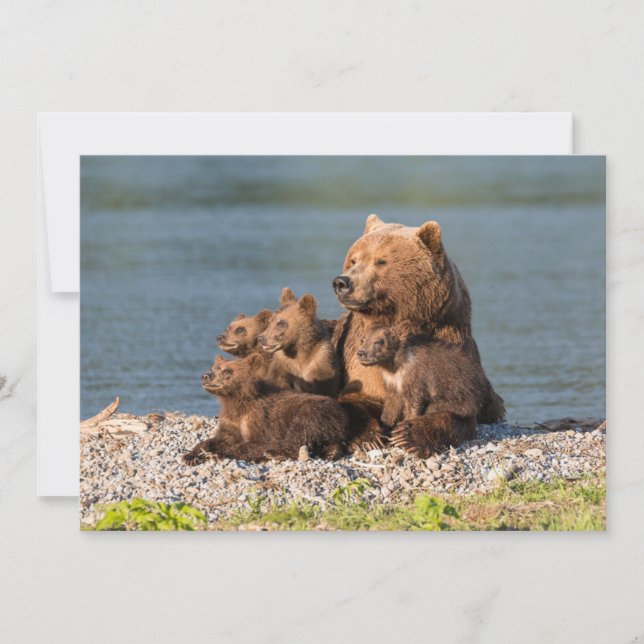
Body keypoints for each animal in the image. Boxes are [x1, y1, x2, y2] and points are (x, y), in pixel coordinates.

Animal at [183, 354, 358, 464]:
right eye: (213, 367)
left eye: (227, 370)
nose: (206, 376)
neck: (236, 401)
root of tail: (343, 412)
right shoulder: (231, 420)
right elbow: (219, 438)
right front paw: (191, 456)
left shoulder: (260, 419)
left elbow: (257, 442)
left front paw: (219, 453)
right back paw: (331, 452)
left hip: (315, 412)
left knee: (300, 433)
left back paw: (274, 453)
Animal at [357, 322, 487, 455]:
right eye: (363, 339)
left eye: (378, 341)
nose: (361, 353)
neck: (395, 364)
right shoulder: (392, 382)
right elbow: (391, 405)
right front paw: (384, 429)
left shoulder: (417, 378)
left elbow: (413, 404)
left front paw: (401, 430)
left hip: (460, 398)